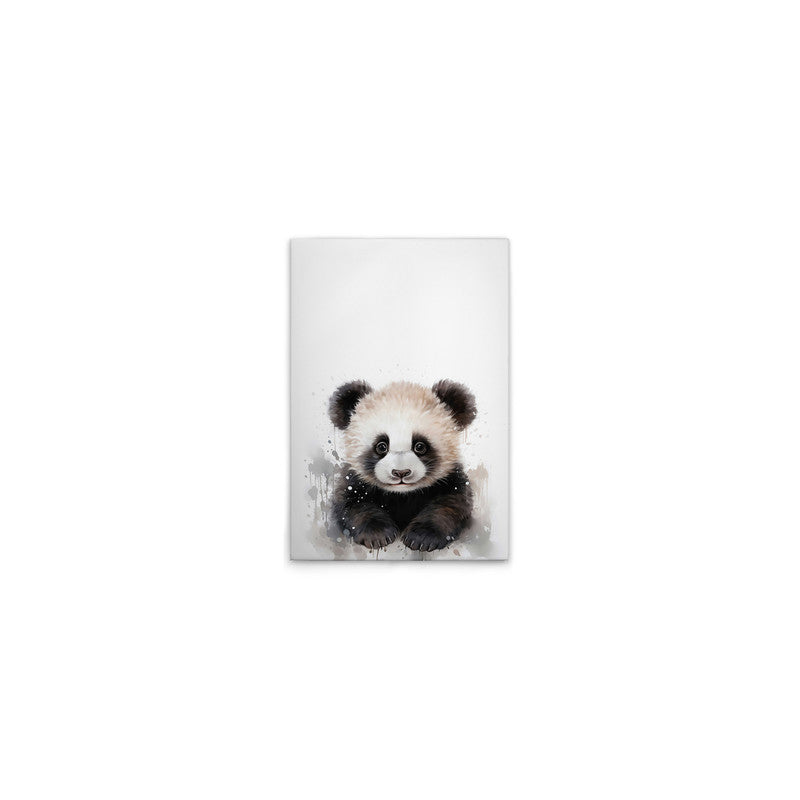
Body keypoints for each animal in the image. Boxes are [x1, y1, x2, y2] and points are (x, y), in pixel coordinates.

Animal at [329, 379, 477, 552]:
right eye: (381, 446)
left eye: (420, 446)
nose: (401, 472)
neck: (402, 494)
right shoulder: (354, 478)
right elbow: (352, 504)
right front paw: (377, 534)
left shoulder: (450, 477)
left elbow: (450, 504)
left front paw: (422, 537)